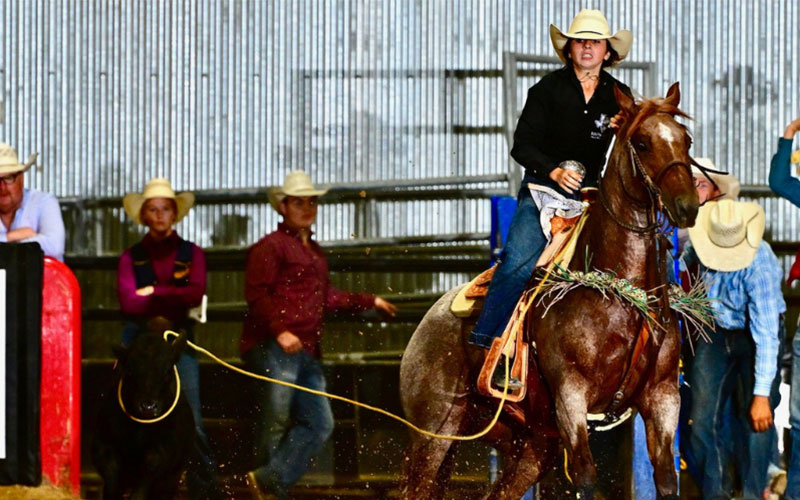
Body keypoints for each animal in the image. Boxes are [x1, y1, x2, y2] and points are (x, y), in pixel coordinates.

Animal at [400, 83, 700, 500]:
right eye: (641, 143)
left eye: (686, 140)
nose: (687, 206)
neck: (623, 295)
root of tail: (428, 319)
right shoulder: (571, 395)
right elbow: (586, 476)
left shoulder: (663, 396)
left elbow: (667, 480)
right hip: (434, 433)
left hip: (530, 443)